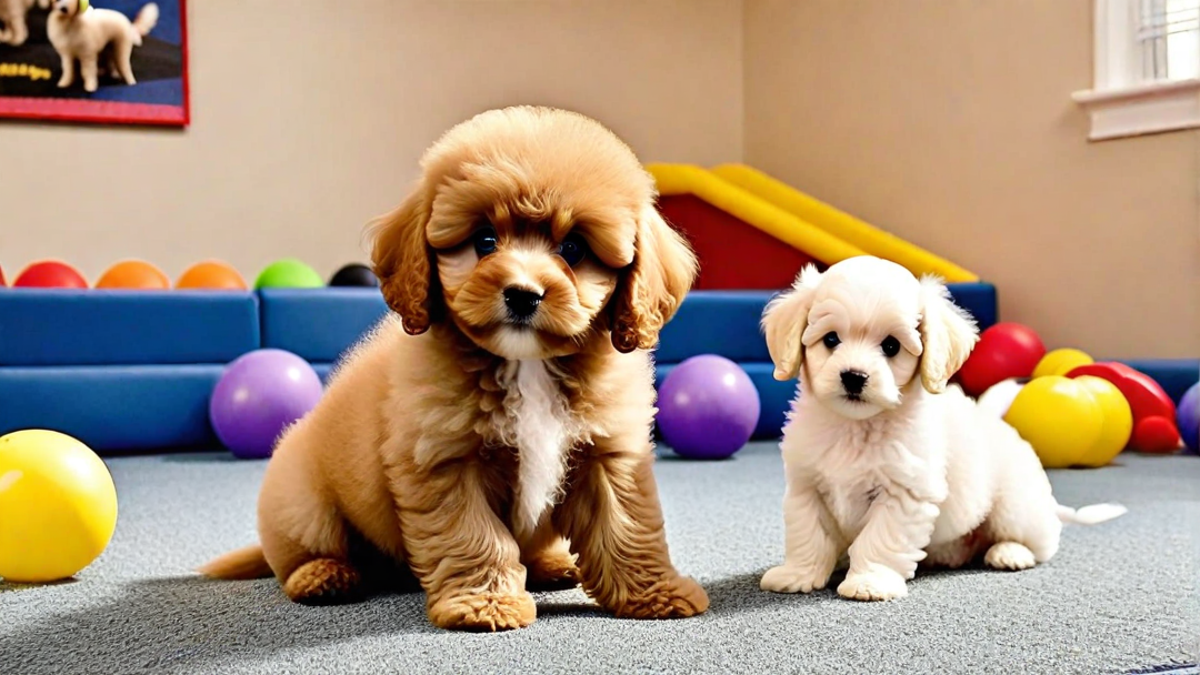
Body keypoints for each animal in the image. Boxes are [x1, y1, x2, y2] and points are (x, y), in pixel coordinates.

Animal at [200, 105, 705, 629]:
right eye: (484, 240)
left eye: (573, 250)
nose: (523, 294)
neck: (527, 366)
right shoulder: (445, 460)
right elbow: (476, 536)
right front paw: (487, 604)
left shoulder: (606, 454)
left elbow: (626, 528)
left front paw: (656, 593)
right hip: (302, 501)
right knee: (303, 550)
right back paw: (323, 575)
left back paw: (552, 563)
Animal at [758, 253, 1123, 598]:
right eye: (831, 339)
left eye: (891, 346)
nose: (854, 376)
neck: (856, 426)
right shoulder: (807, 487)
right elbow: (809, 535)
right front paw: (798, 575)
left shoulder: (903, 493)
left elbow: (878, 538)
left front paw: (870, 581)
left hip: (1016, 506)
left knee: (1040, 541)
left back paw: (1010, 553)